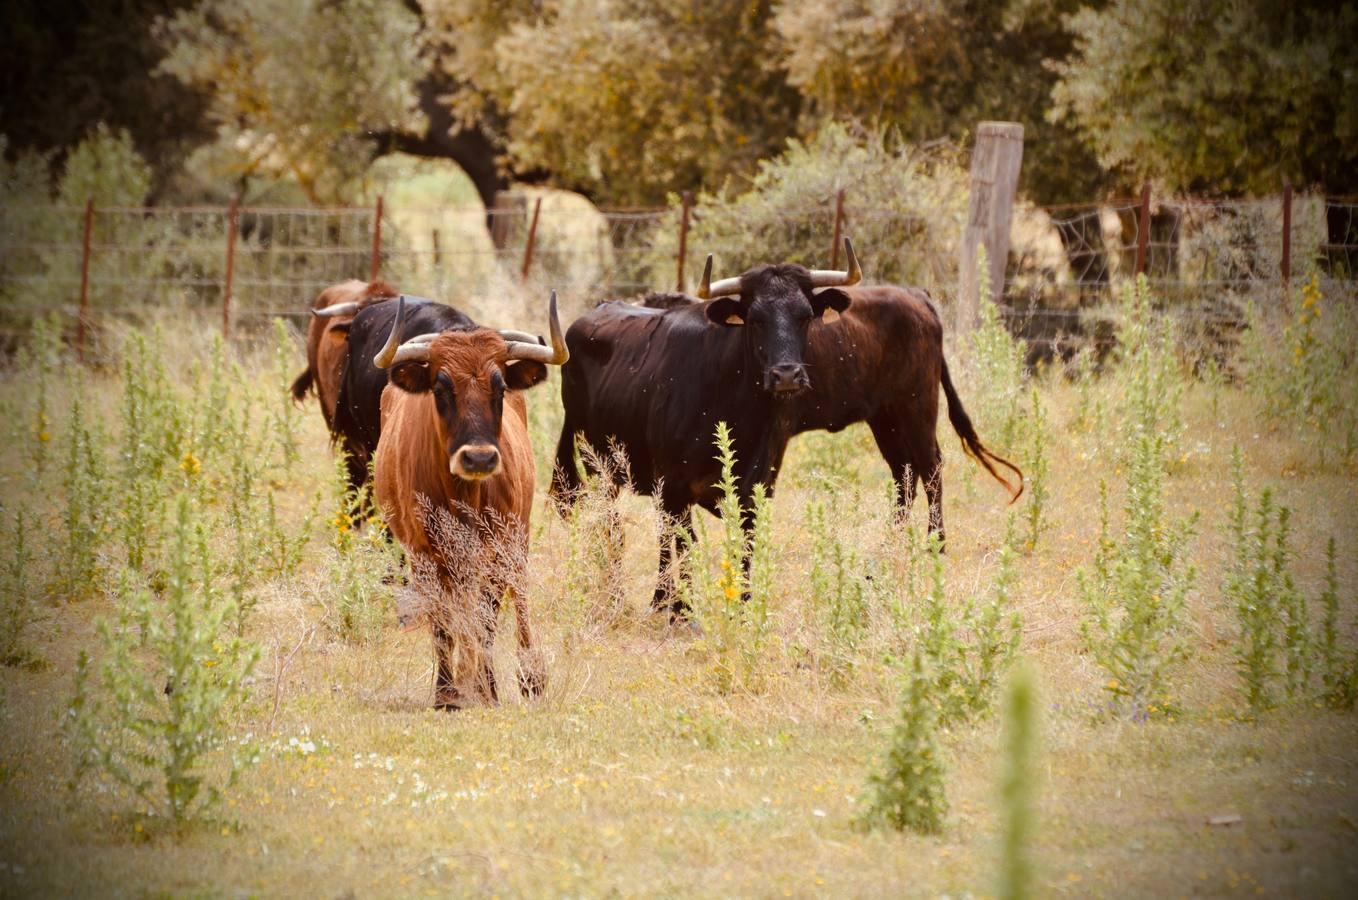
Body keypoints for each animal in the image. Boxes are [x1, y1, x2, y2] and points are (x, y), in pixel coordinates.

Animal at [372, 291, 567, 705]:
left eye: (501, 388)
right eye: (440, 388)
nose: (478, 458)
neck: (464, 496)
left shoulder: (499, 548)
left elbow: (486, 619)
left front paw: (488, 688)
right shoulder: (425, 554)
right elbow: (444, 623)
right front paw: (448, 693)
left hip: (518, 538)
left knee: (517, 596)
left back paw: (530, 676)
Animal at [548, 271, 1021, 616]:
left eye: (805, 316)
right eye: (755, 318)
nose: (788, 375)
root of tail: (916, 295)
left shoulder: (757, 479)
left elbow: (731, 540)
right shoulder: (674, 484)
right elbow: (678, 541)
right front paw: (674, 605)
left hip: (914, 408)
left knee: (930, 468)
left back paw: (932, 547)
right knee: (906, 473)